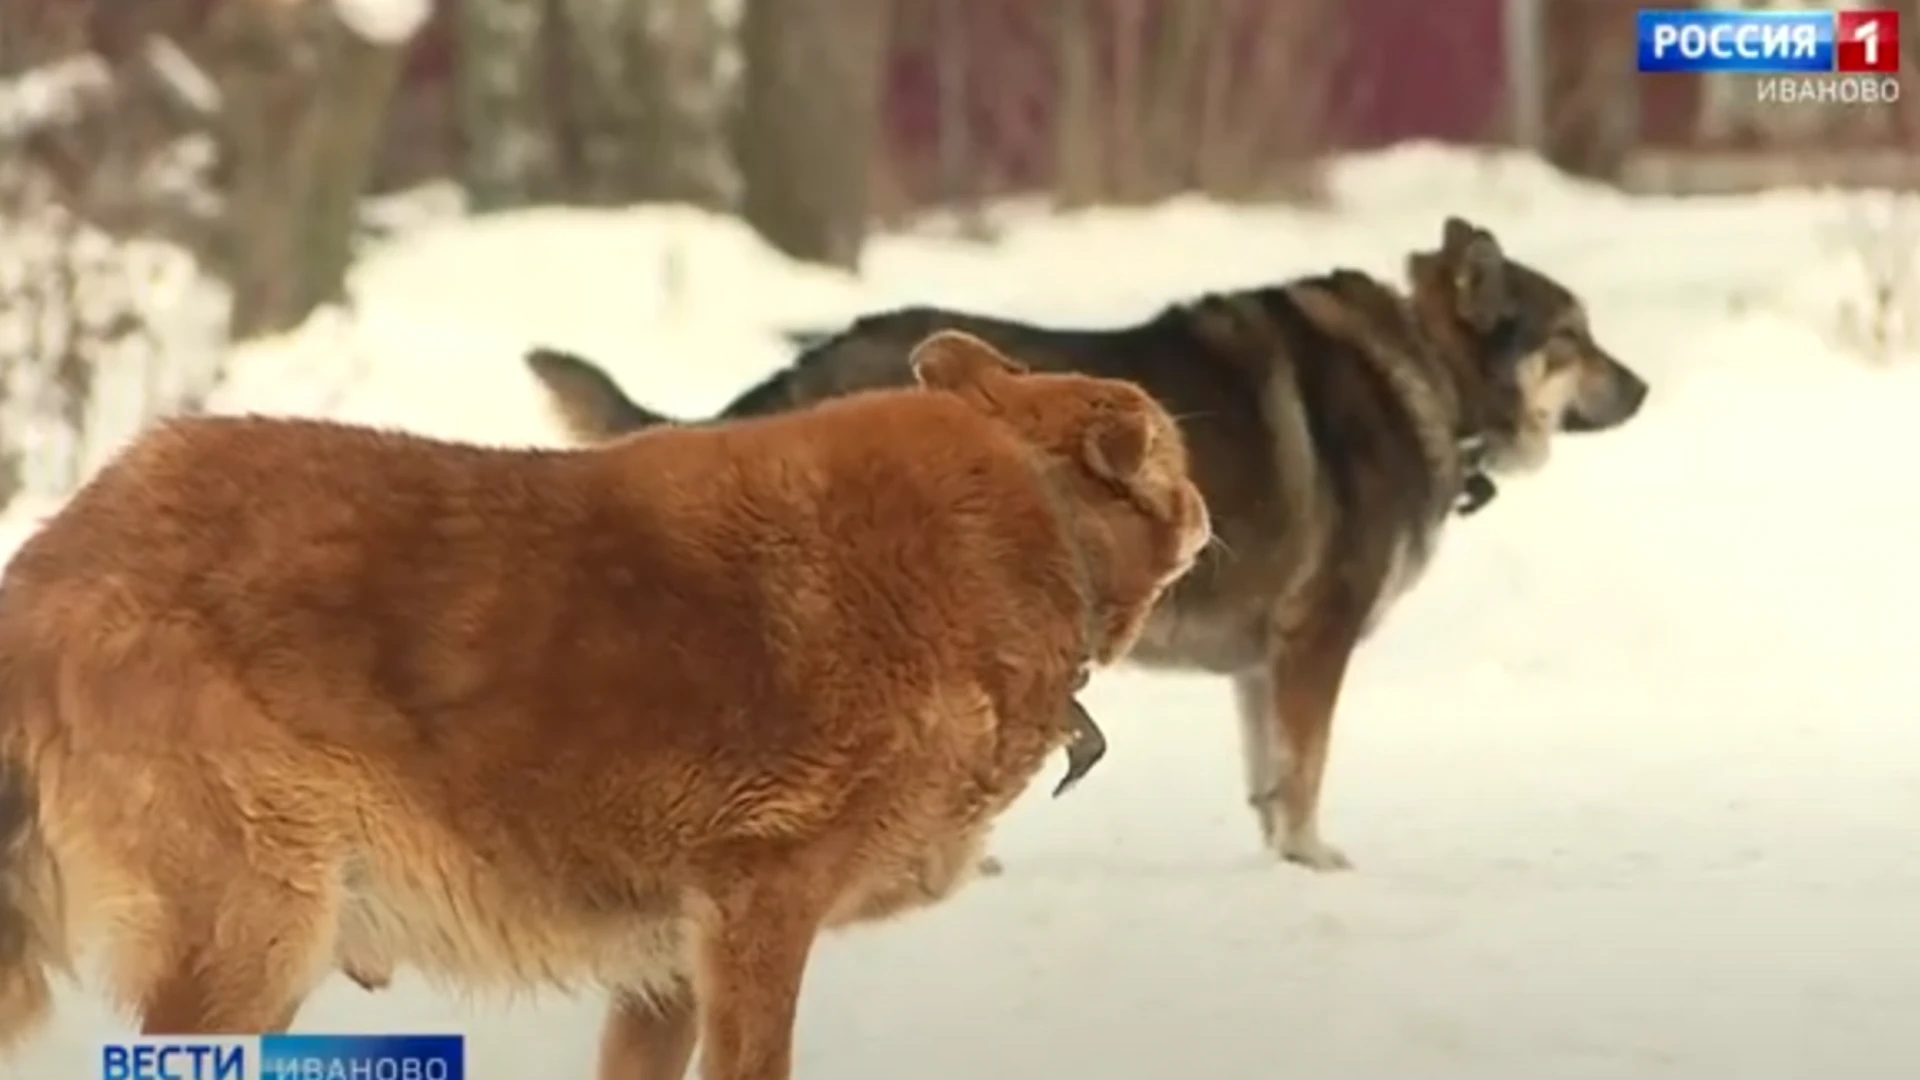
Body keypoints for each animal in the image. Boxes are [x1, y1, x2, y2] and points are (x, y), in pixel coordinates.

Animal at [0, 332, 1198, 1068]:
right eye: (1179, 464)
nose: (1203, 511)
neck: (1033, 513)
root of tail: (51, 568)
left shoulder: (665, 969)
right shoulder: (759, 914)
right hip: (255, 935)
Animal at [529, 214, 1651, 868]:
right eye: (1574, 338)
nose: (1642, 388)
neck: (1429, 368)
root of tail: (811, 369)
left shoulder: (1265, 662)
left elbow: (1270, 777)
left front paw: (1281, 864)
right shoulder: (1315, 642)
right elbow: (1307, 772)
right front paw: (1315, 859)